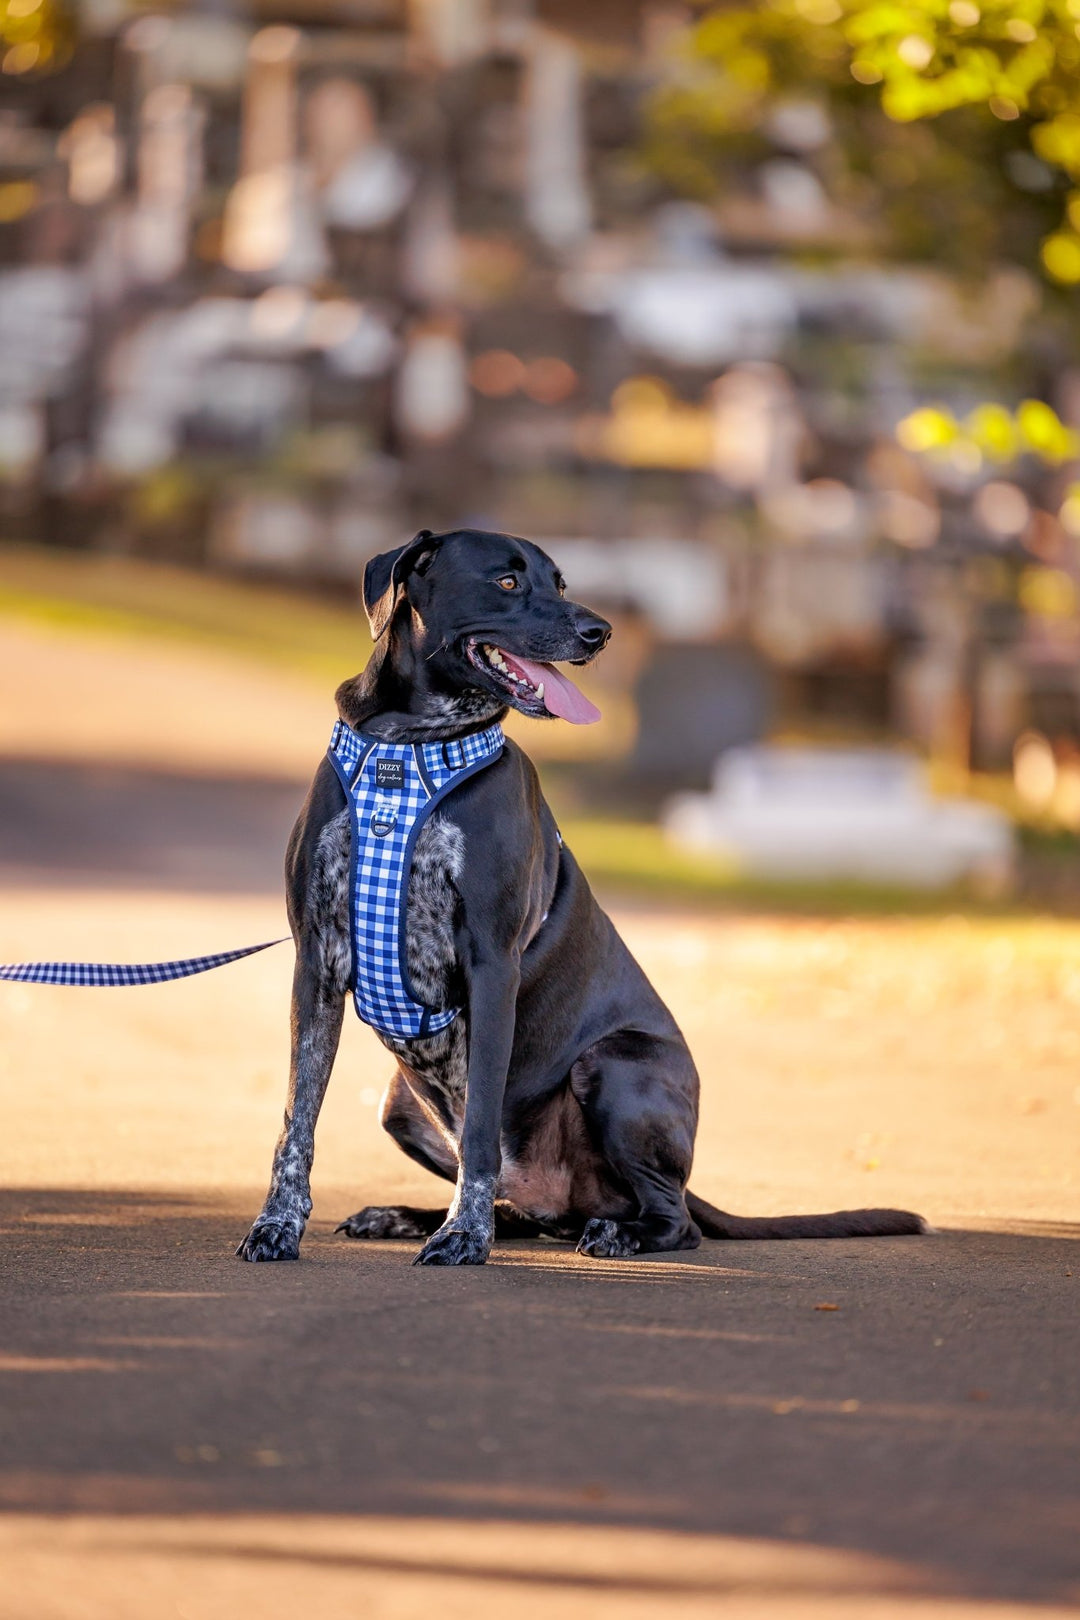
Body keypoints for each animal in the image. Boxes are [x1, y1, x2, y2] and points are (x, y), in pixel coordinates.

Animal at [236, 531, 919, 1263]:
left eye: (560, 583)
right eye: (507, 582)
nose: (601, 632)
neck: (411, 749)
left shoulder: (491, 965)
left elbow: (480, 1129)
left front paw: (463, 1237)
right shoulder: (318, 960)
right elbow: (297, 1119)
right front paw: (277, 1225)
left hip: (615, 1066)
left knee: (675, 1220)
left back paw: (614, 1234)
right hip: (399, 1104)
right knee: (521, 1206)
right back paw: (407, 1216)